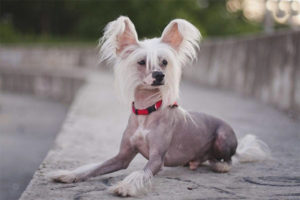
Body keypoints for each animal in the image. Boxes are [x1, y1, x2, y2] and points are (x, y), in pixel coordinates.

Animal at [50, 16, 270, 197]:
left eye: (164, 62)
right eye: (141, 62)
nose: (159, 75)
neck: (145, 111)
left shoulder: (157, 159)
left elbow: (141, 172)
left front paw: (126, 186)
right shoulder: (122, 157)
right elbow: (95, 167)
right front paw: (69, 174)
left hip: (223, 138)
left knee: (230, 160)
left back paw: (220, 166)